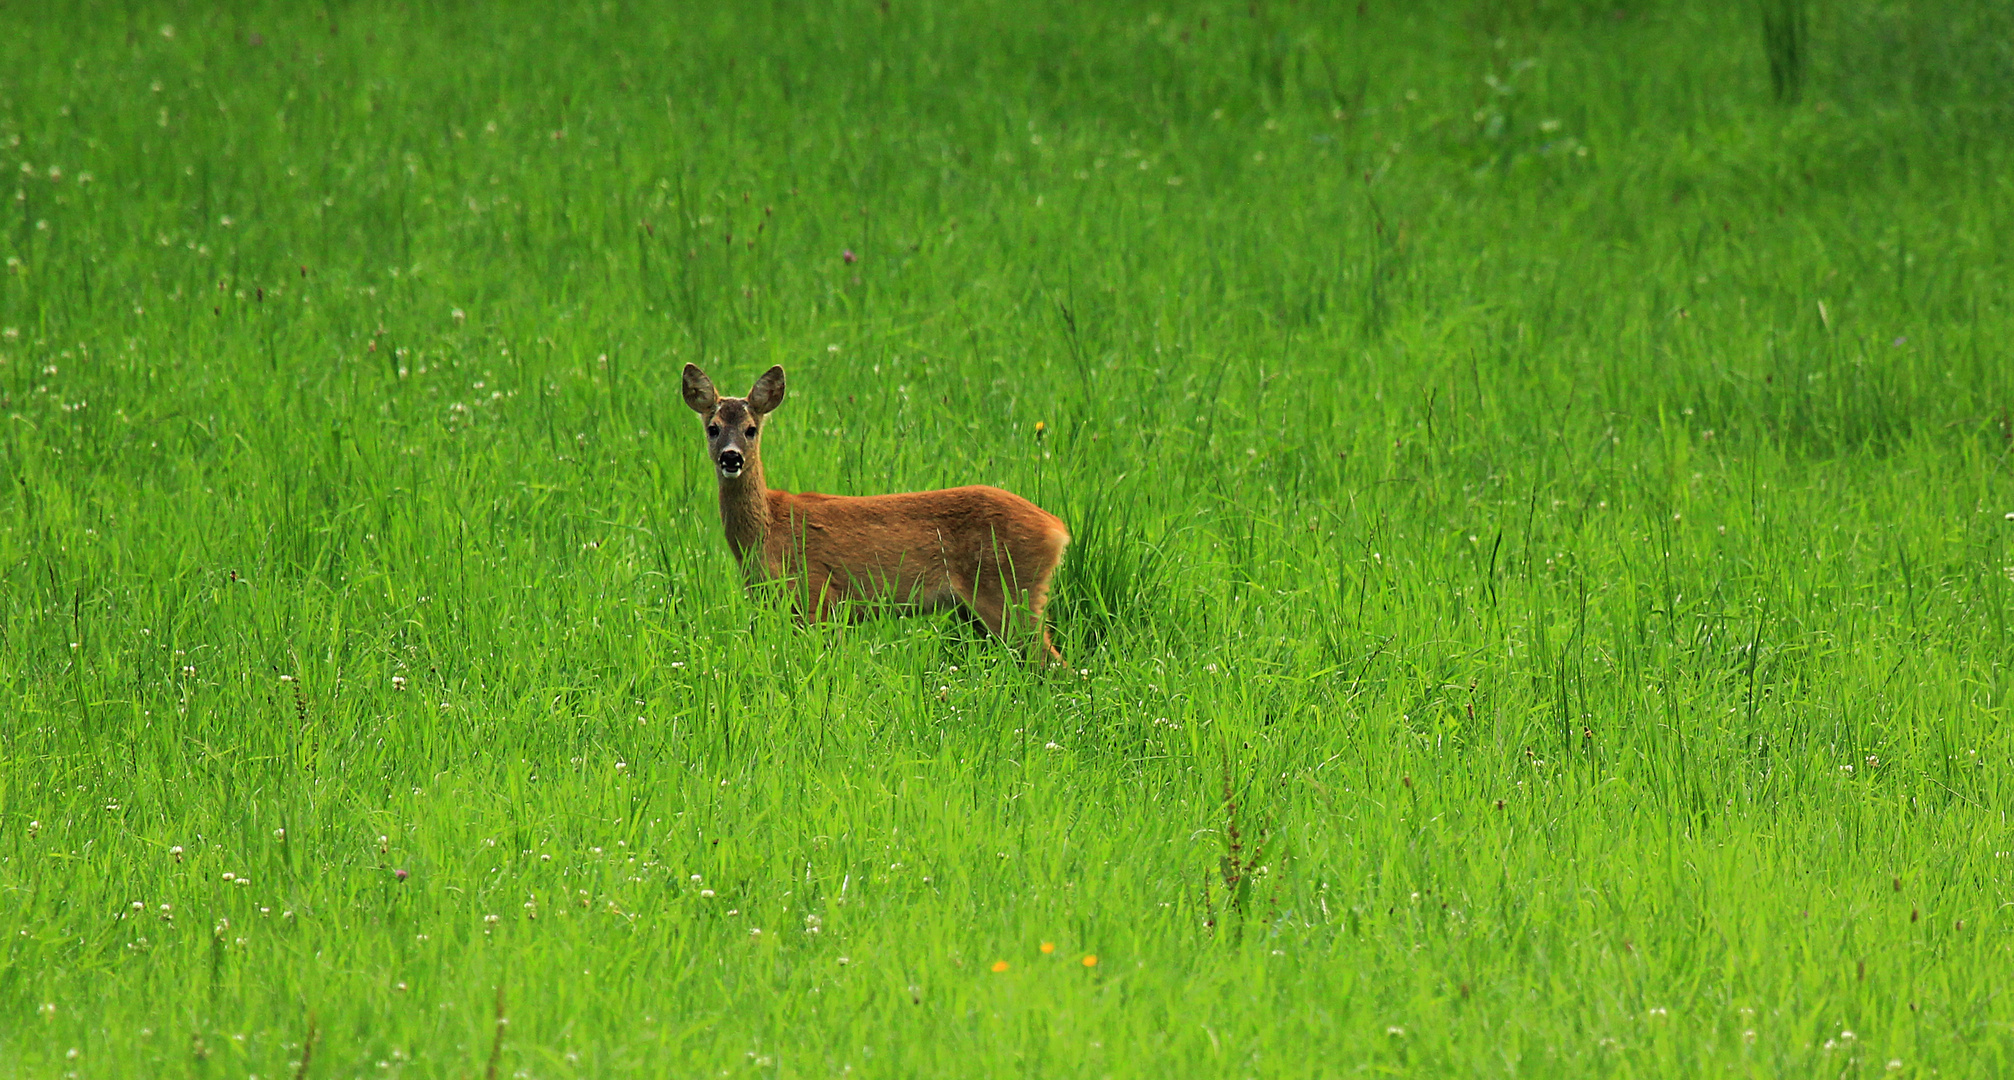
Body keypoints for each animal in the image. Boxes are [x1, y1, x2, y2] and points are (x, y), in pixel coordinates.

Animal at [684, 362, 1079, 660]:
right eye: (713, 428)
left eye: (751, 429)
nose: (731, 457)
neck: (767, 532)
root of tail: (1057, 529)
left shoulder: (816, 597)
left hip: (1011, 591)